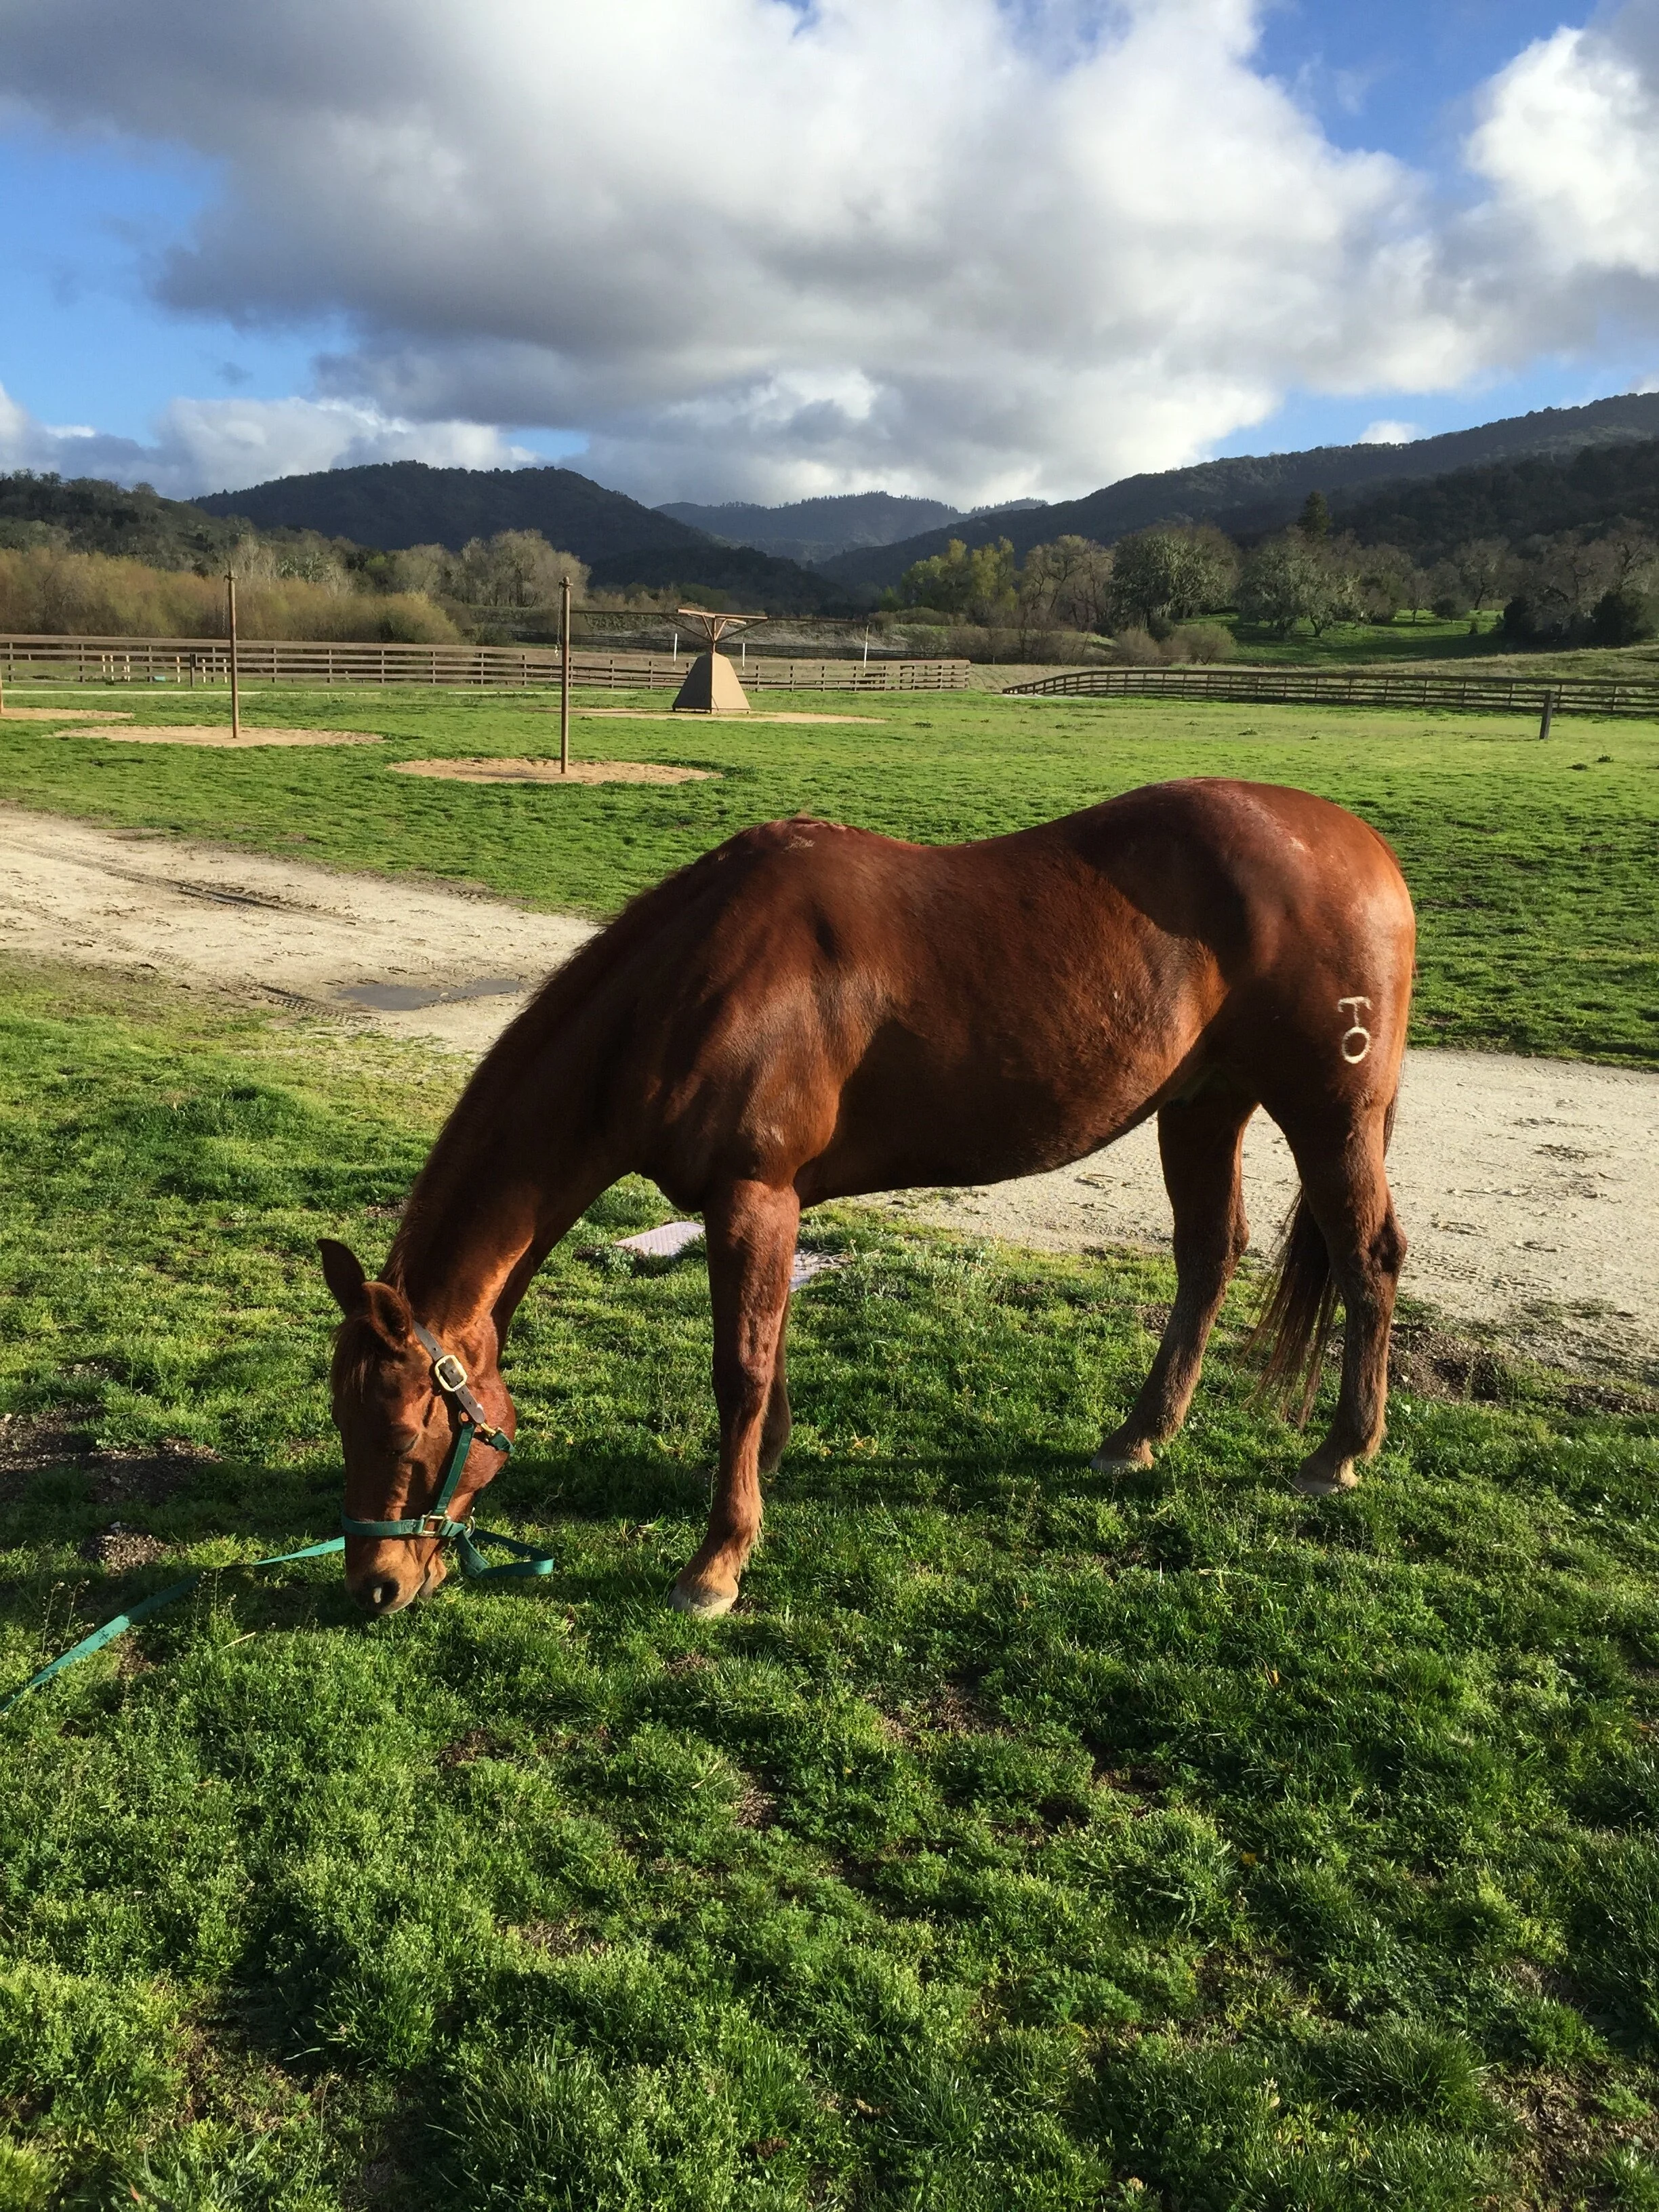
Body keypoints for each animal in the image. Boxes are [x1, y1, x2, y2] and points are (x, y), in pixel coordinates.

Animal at [320, 777, 1414, 1620]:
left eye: (410, 1430)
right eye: (340, 1417)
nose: (374, 1585)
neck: (689, 985)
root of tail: (1360, 846)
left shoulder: (752, 1195)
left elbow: (739, 1370)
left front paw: (716, 1563)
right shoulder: (767, 1203)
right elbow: (768, 1356)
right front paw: (761, 1479)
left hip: (1329, 1111)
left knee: (1367, 1257)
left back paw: (1340, 1453)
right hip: (1201, 1106)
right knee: (1207, 1255)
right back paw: (1138, 1438)